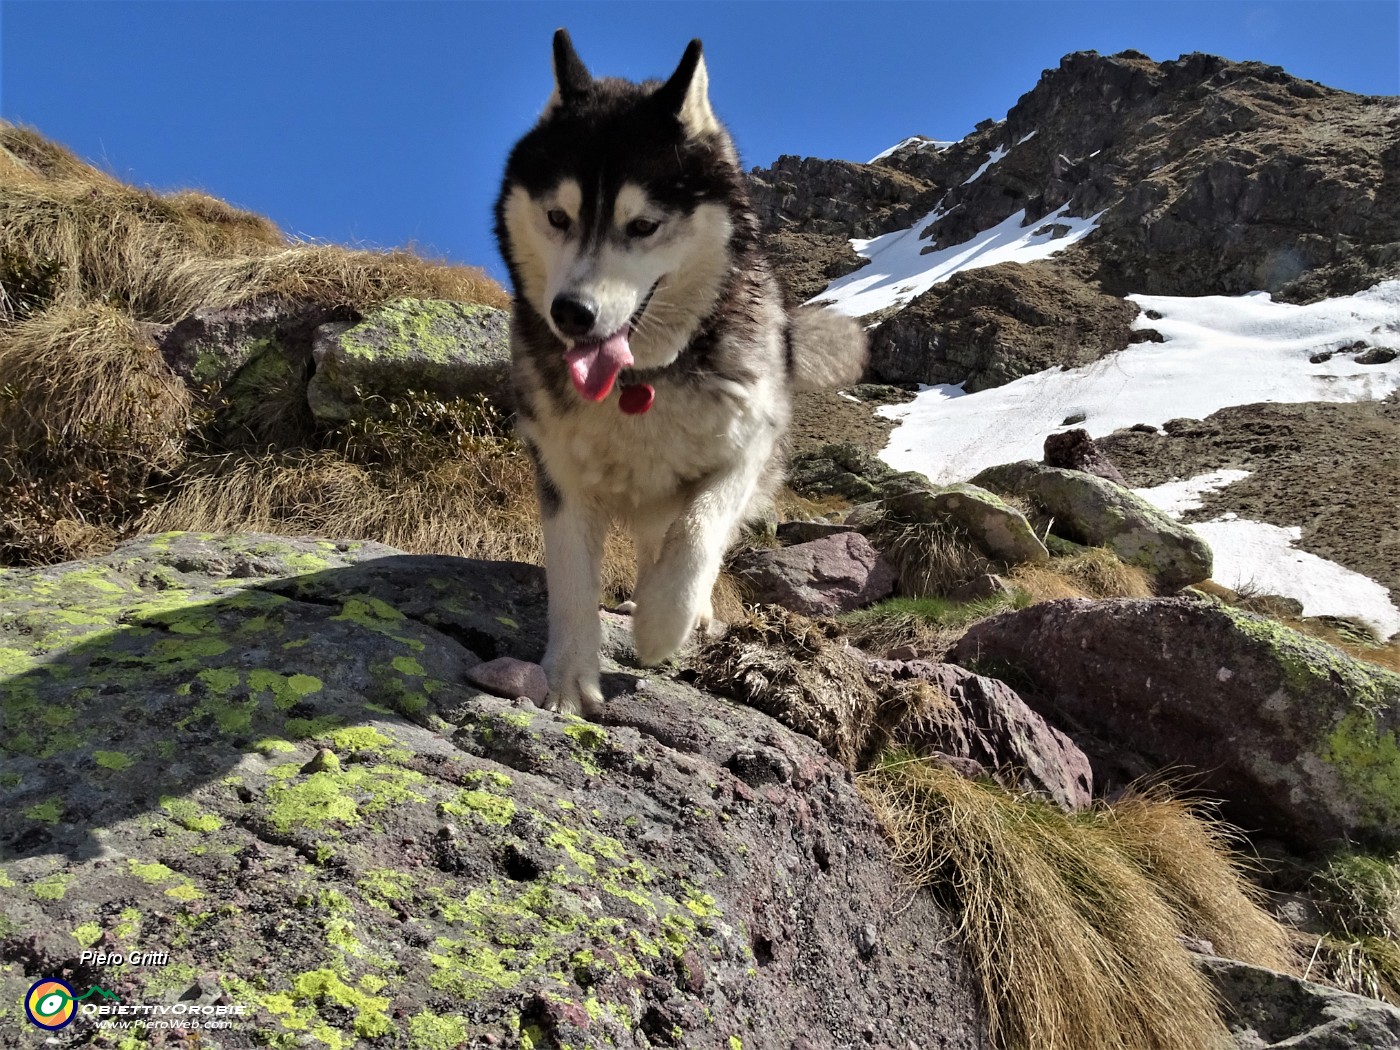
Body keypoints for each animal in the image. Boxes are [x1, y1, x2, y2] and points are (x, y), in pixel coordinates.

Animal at [492, 30, 862, 716]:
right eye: (557, 217)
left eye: (643, 225)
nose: (572, 314)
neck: (643, 382)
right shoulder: (560, 471)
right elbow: (573, 584)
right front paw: (569, 681)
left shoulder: (748, 446)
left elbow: (697, 534)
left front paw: (664, 626)